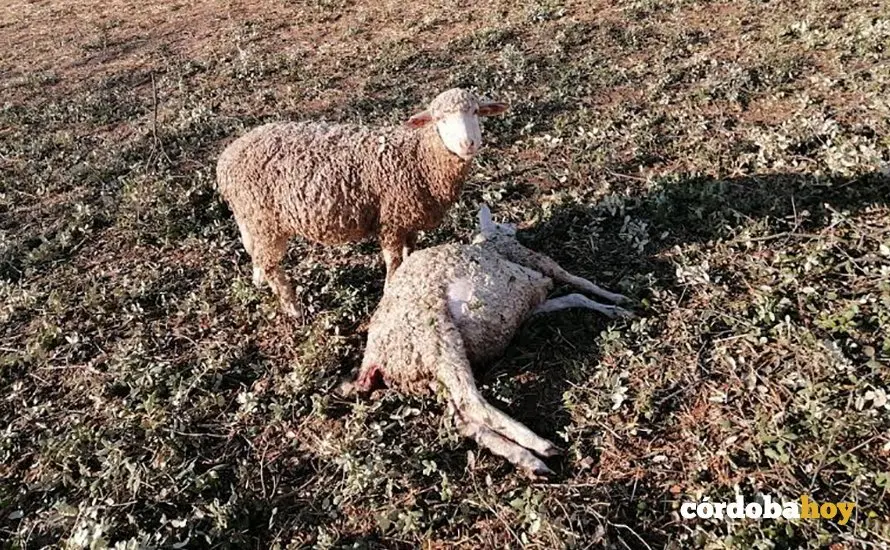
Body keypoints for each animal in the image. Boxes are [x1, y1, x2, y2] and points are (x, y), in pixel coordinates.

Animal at [216, 88, 509, 319]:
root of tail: (226, 159)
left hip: (251, 219)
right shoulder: (391, 220)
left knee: (254, 251)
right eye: (440, 119)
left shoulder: (408, 217)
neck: (419, 157)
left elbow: (410, 251)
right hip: (266, 220)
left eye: (476, 112)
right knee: (271, 264)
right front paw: (391, 289)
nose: (468, 143)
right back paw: (293, 308)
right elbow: (393, 261)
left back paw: (258, 280)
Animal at [342, 204, 634, 477]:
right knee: (471, 402)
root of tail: (374, 360)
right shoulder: (538, 264)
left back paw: (527, 460)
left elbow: (574, 297)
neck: (490, 243)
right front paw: (617, 299)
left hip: (426, 371)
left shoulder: (530, 305)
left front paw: (615, 310)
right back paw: (539, 445)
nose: (514, 226)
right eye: (501, 224)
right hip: (435, 336)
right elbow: (578, 282)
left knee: (462, 419)